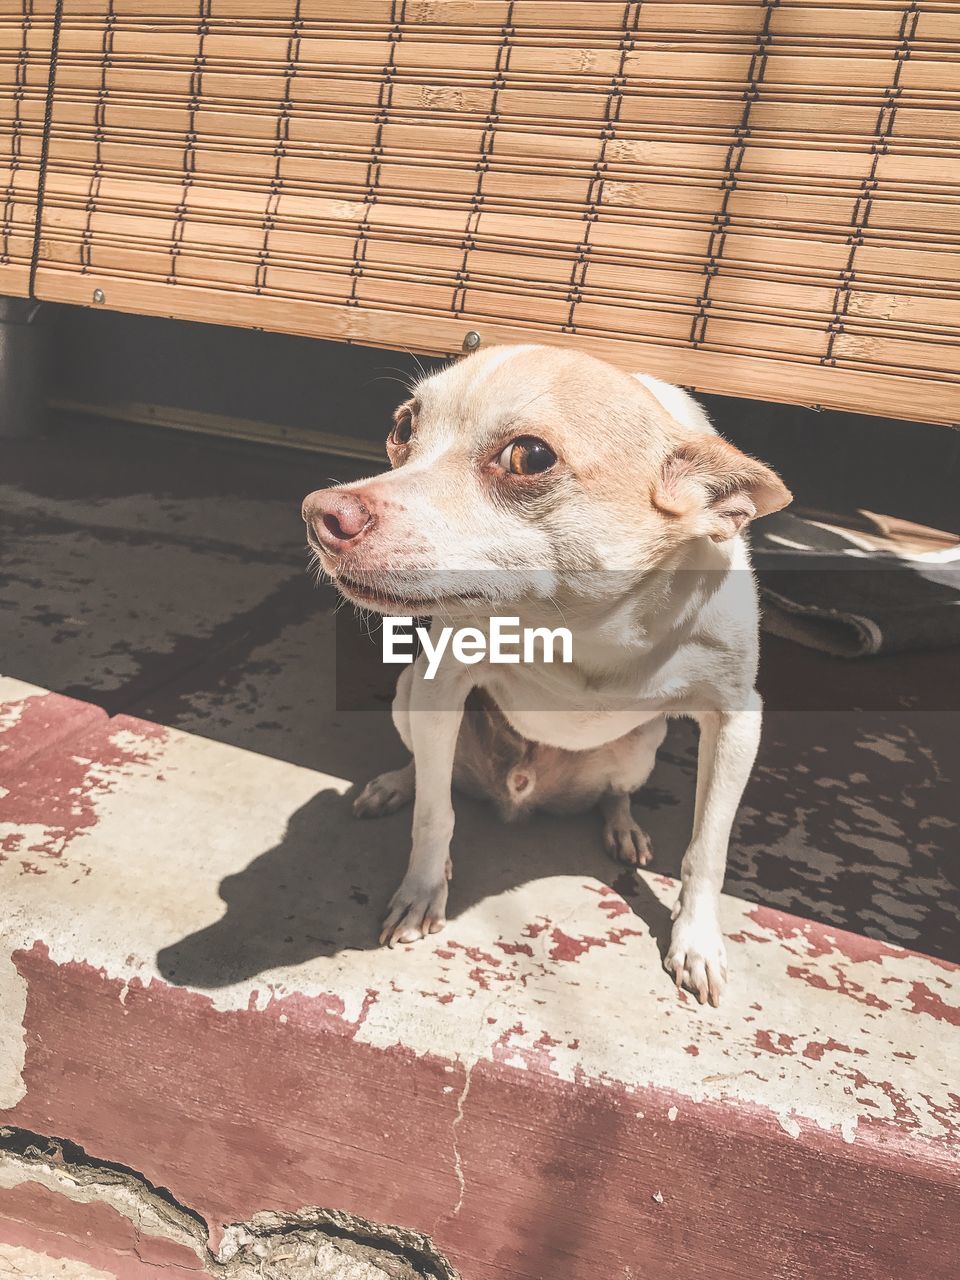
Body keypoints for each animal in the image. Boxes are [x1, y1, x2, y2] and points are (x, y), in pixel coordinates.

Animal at [304, 345, 793, 1003]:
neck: (585, 629)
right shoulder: (440, 683)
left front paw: (696, 941)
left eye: (529, 456)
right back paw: (397, 784)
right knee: (431, 772)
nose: (319, 514)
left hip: (642, 745)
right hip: (409, 697)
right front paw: (423, 890)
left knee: (616, 791)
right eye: (404, 427)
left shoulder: (737, 723)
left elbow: (707, 849)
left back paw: (623, 827)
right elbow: (435, 813)